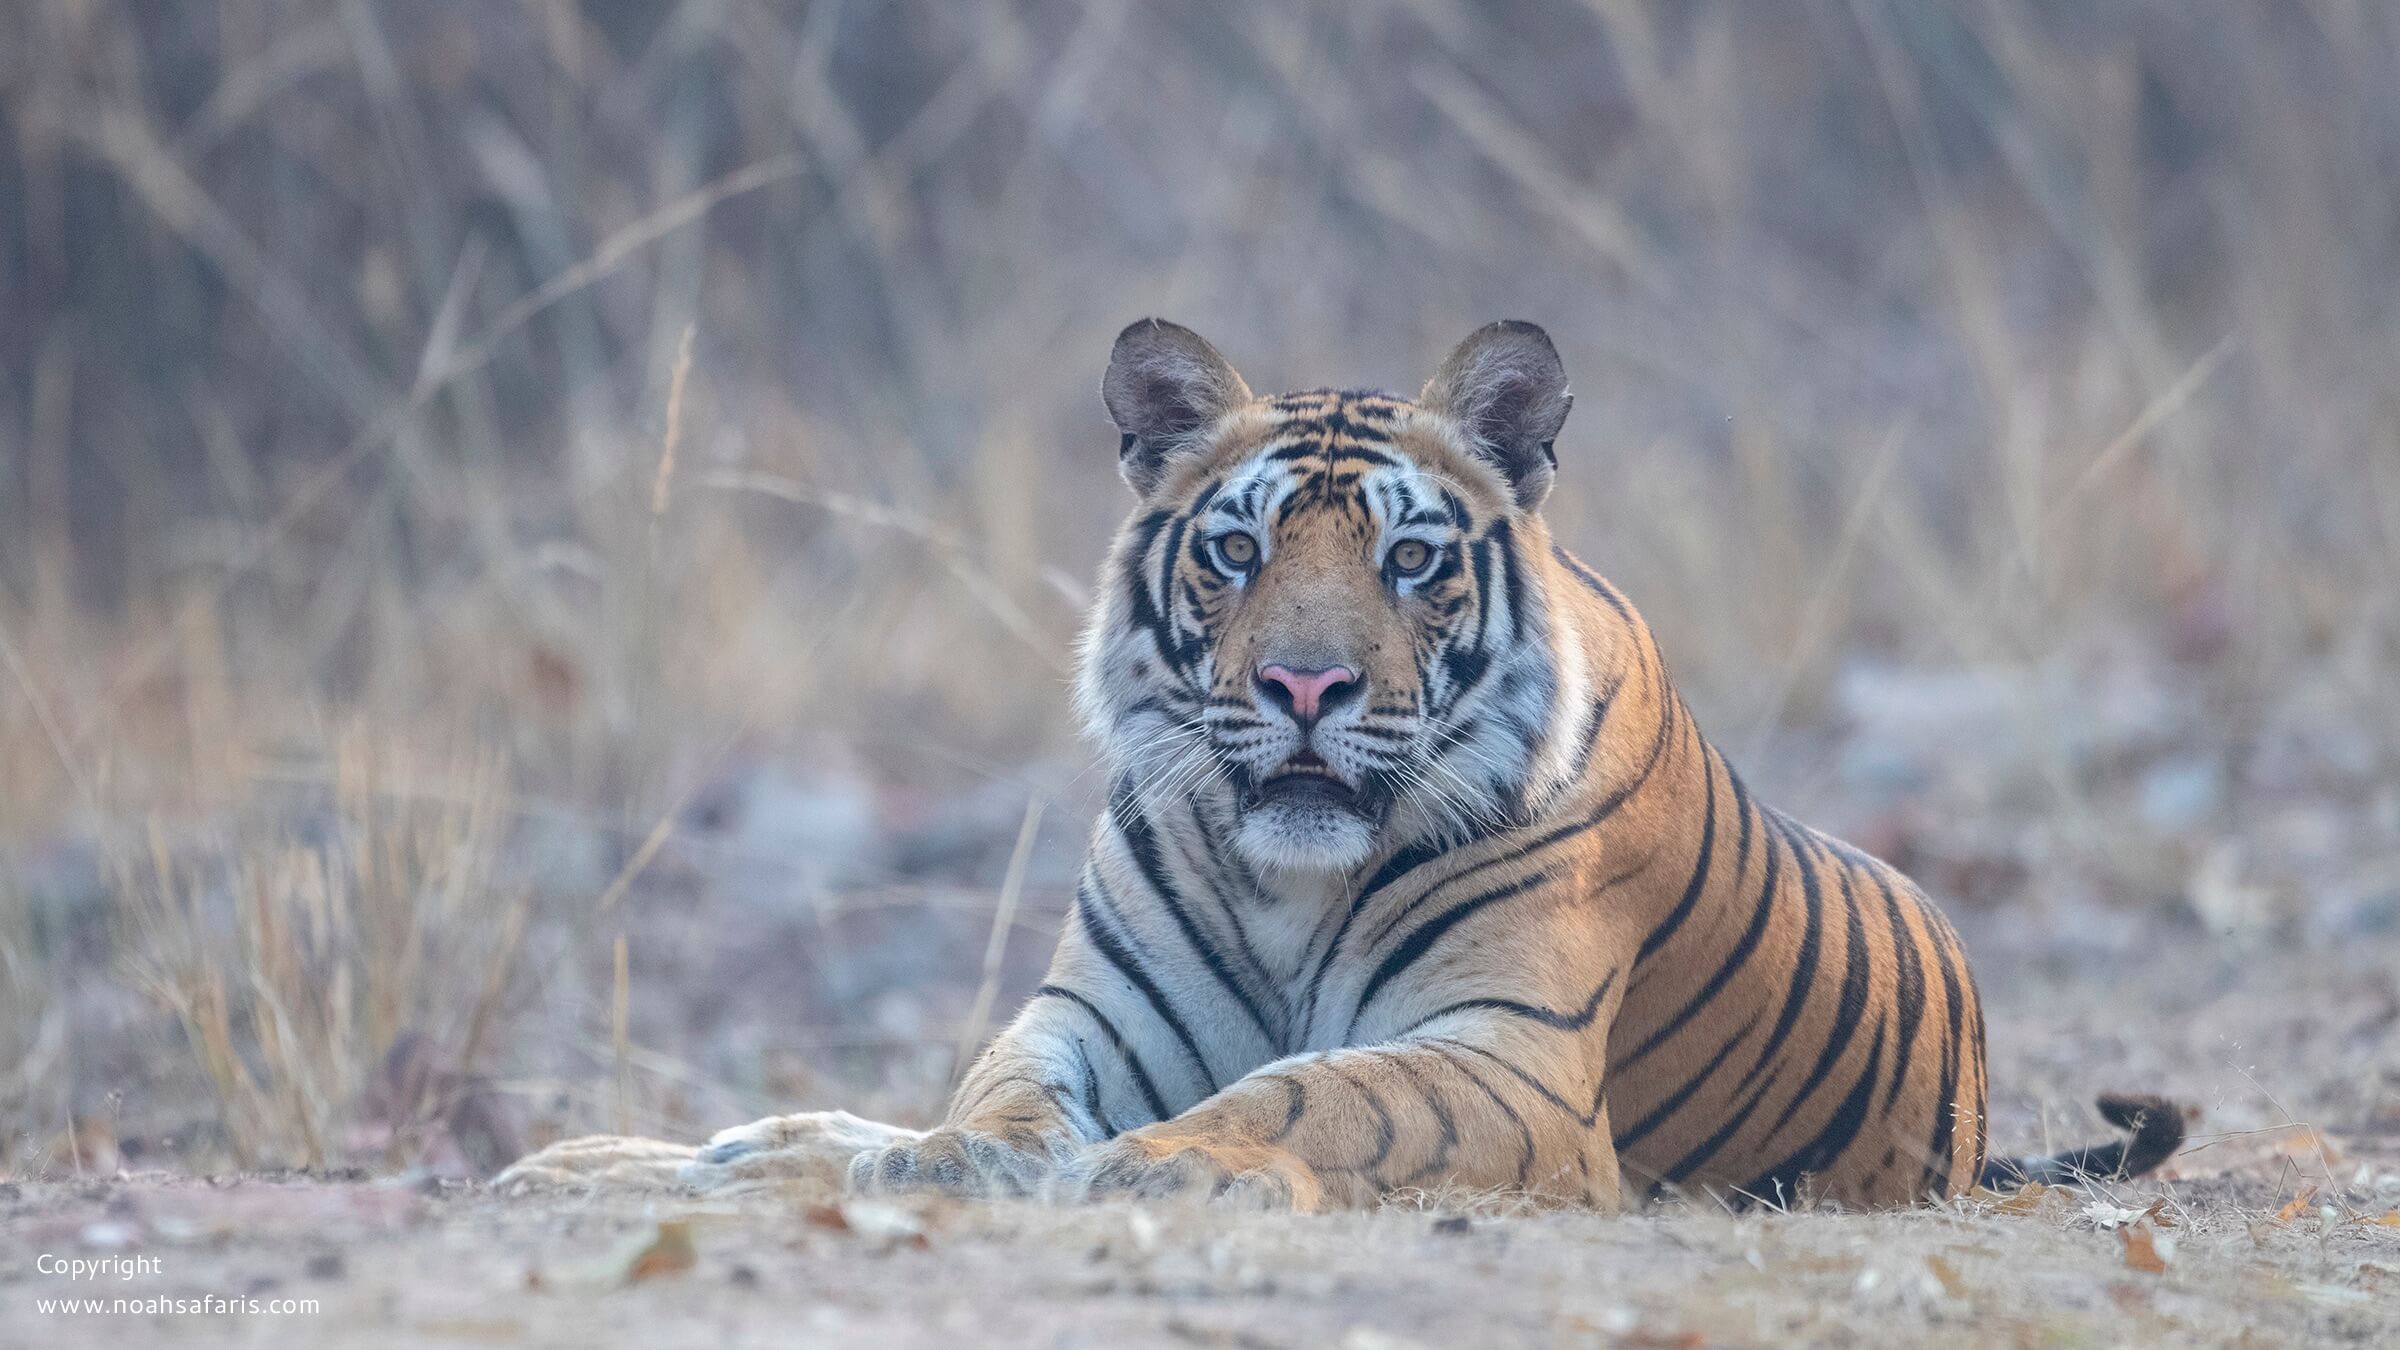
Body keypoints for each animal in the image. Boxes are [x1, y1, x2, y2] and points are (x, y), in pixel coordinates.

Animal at [504, 319, 2183, 1211]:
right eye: (1238, 551)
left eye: (1412, 558)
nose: (1304, 684)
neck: (1288, 885)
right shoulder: (1091, 1017)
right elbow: (997, 1096)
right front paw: (958, 1162)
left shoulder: (1510, 1059)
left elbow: (1324, 1093)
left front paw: (1167, 1161)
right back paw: (613, 1156)